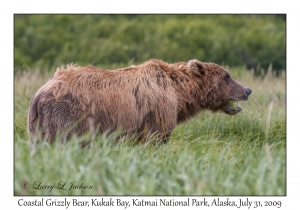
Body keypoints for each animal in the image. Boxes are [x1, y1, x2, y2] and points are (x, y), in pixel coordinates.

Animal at [27, 59, 251, 144]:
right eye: (227, 76)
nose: (247, 90)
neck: (179, 93)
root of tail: (39, 94)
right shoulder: (159, 109)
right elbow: (157, 136)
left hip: (38, 124)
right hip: (69, 115)